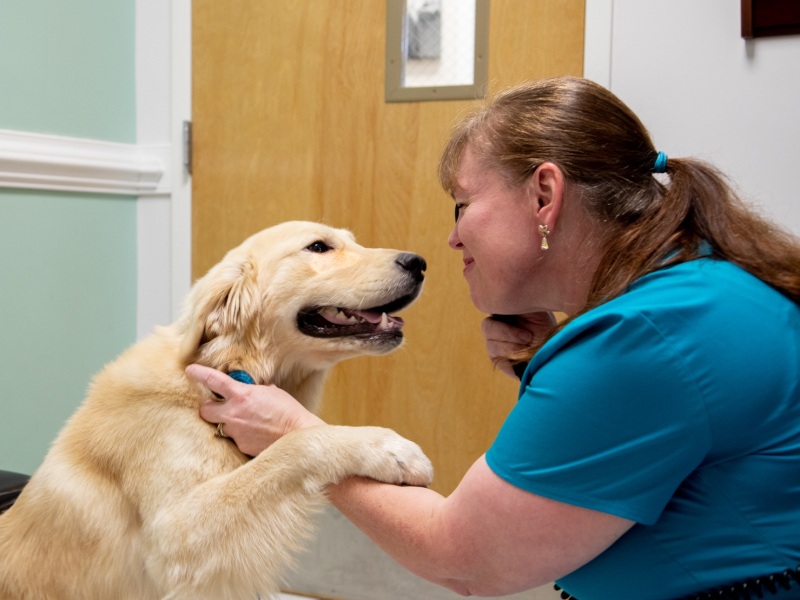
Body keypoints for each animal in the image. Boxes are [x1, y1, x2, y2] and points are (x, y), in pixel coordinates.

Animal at [0, 221, 432, 600]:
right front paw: (389, 448)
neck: (218, 374)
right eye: (318, 247)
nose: (419, 262)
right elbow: (298, 442)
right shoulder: (176, 536)